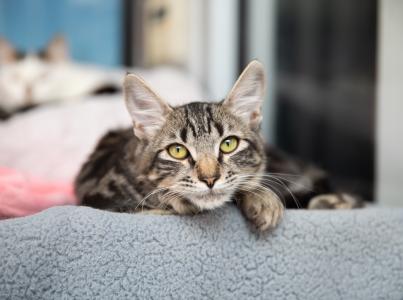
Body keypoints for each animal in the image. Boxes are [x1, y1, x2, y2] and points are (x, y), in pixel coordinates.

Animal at [75, 59, 362, 231]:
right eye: (177, 150)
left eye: (228, 145)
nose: (210, 179)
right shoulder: (100, 194)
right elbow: (153, 206)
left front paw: (262, 199)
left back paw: (332, 201)